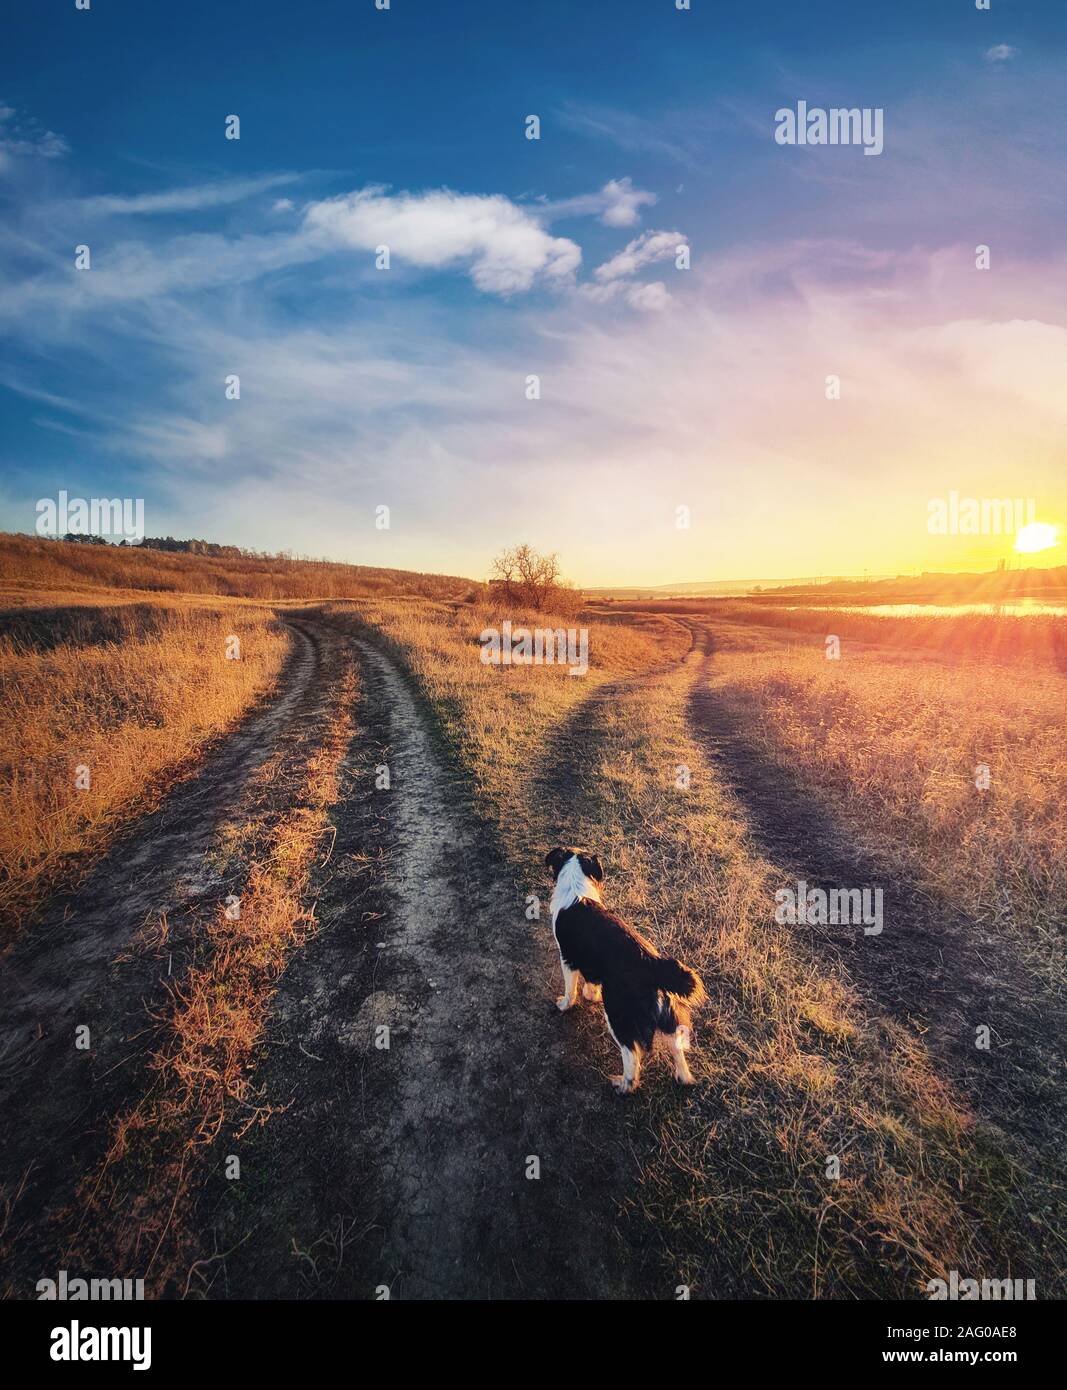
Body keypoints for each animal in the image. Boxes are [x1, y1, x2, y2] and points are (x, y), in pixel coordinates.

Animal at [541, 845, 708, 1095]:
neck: (576, 887)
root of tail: (652, 963)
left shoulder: (568, 958)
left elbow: (570, 991)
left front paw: (564, 1005)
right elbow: (591, 983)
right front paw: (591, 995)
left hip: (619, 1016)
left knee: (632, 1056)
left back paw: (623, 1085)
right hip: (667, 1014)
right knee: (676, 1048)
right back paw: (684, 1078)